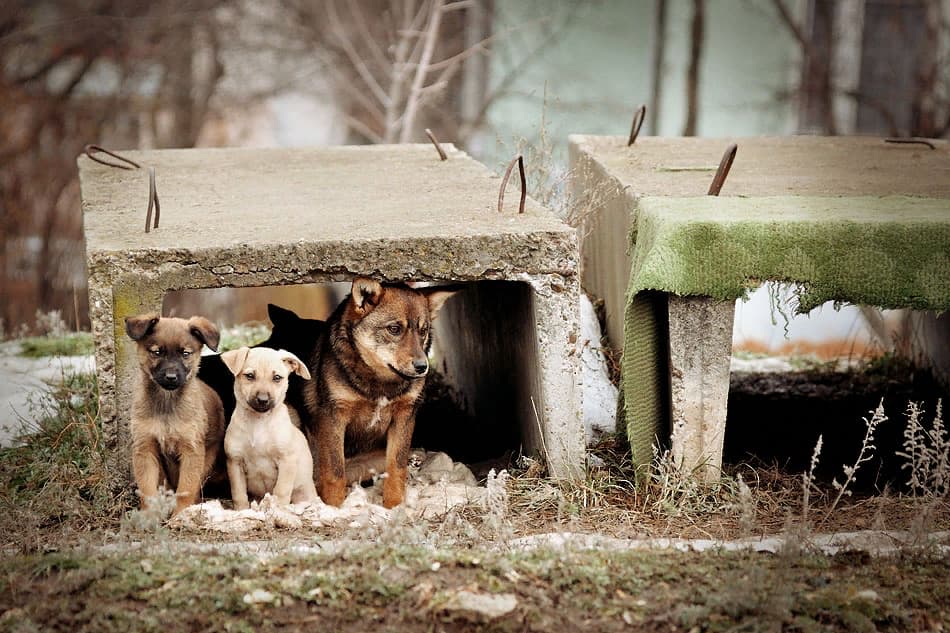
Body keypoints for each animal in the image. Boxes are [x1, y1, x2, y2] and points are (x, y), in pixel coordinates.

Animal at [124, 314, 227, 516]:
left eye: (185, 353)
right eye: (156, 352)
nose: (171, 377)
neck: (166, 403)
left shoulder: (192, 451)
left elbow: (186, 489)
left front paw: (180, 516)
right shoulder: (145, 449)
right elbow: (147, 491)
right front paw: (149, 517)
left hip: (207, 457)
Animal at [220, 346, 320, 508]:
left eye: (277, 378)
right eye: (250, 376)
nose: (263, 400)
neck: (258, 423)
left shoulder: (287, 460)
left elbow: (281, 490)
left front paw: (277, 509)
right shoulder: (235, 462)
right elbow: (238, 494)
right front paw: (241, 510)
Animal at [304, 278, 456, 506]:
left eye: (423, 331)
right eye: (394, 329)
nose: (423, 367)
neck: (380, 384)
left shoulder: (403, 416)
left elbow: (397, 470)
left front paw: (394, 507)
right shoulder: (333, 417)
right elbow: (334, 473)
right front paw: (334, 508)